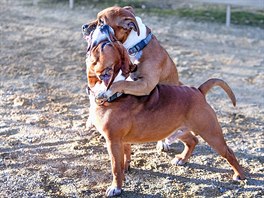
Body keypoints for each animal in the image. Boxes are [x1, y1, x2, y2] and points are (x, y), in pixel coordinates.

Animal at [86, 41, 245, 196]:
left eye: (103, 47)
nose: (102, 41)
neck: (115, 97)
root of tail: (198, 91)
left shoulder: (113, 142)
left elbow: (115, 168)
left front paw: (116, 188)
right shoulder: (121, 141)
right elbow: (125, 157)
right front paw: (125, 170)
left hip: (211, 134)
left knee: (228, 152)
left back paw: (239, 175)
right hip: (179, 129)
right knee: (193, 141)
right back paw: (182, 159)